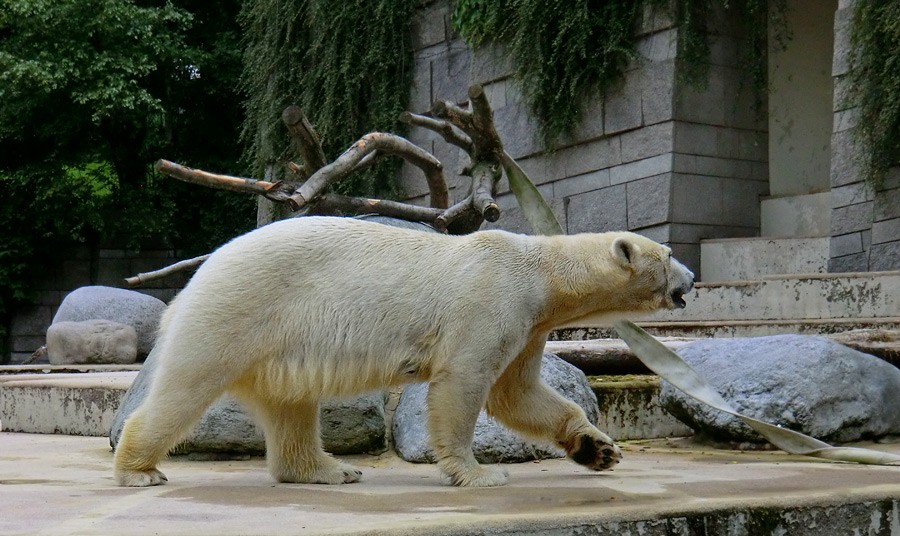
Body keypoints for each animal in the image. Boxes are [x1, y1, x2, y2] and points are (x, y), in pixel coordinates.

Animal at [114, 216, 696, 488]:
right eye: (669, 255)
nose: (691, 278)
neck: (542, 273)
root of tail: (197, 277)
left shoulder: (529, 325)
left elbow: (518, 393)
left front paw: (598, 449)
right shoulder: (492, 301)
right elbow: (465, 383)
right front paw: (479, 473)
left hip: (279, 343)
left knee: (290, 405)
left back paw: (330, 470)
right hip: (240, 309)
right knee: (187, 386)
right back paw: (140, 468)